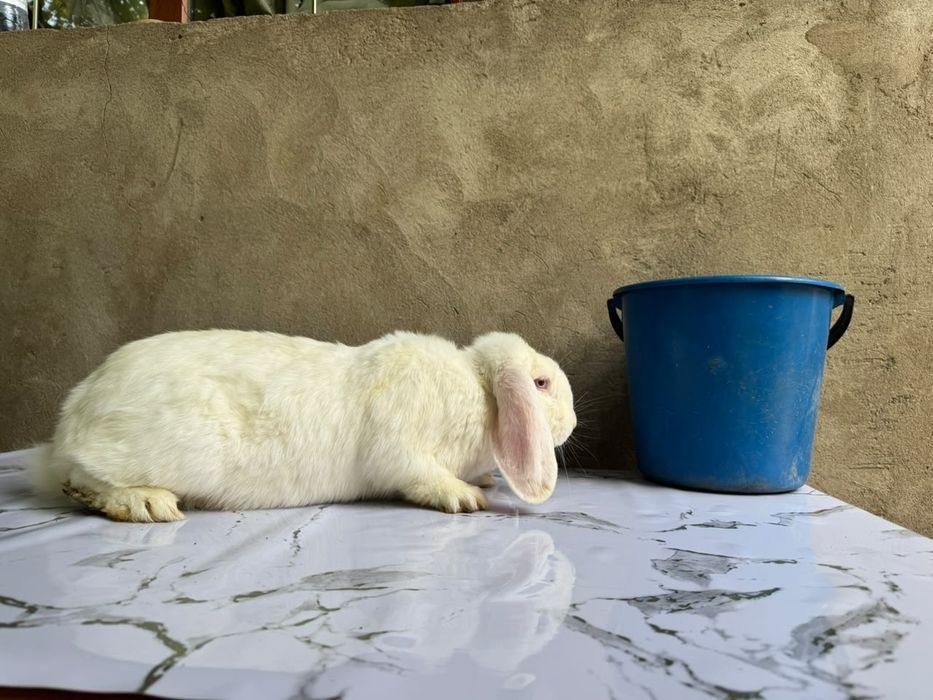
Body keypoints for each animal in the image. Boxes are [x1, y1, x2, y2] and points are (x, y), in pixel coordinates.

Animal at [29, 329, 576, 523]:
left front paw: (481, 480)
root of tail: (75, 414)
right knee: (82, 477)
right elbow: (422, 477)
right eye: (541, 383)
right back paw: (145, 503)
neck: (478, 390)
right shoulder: (402, 450)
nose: (572, 423)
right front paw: (465, 496)